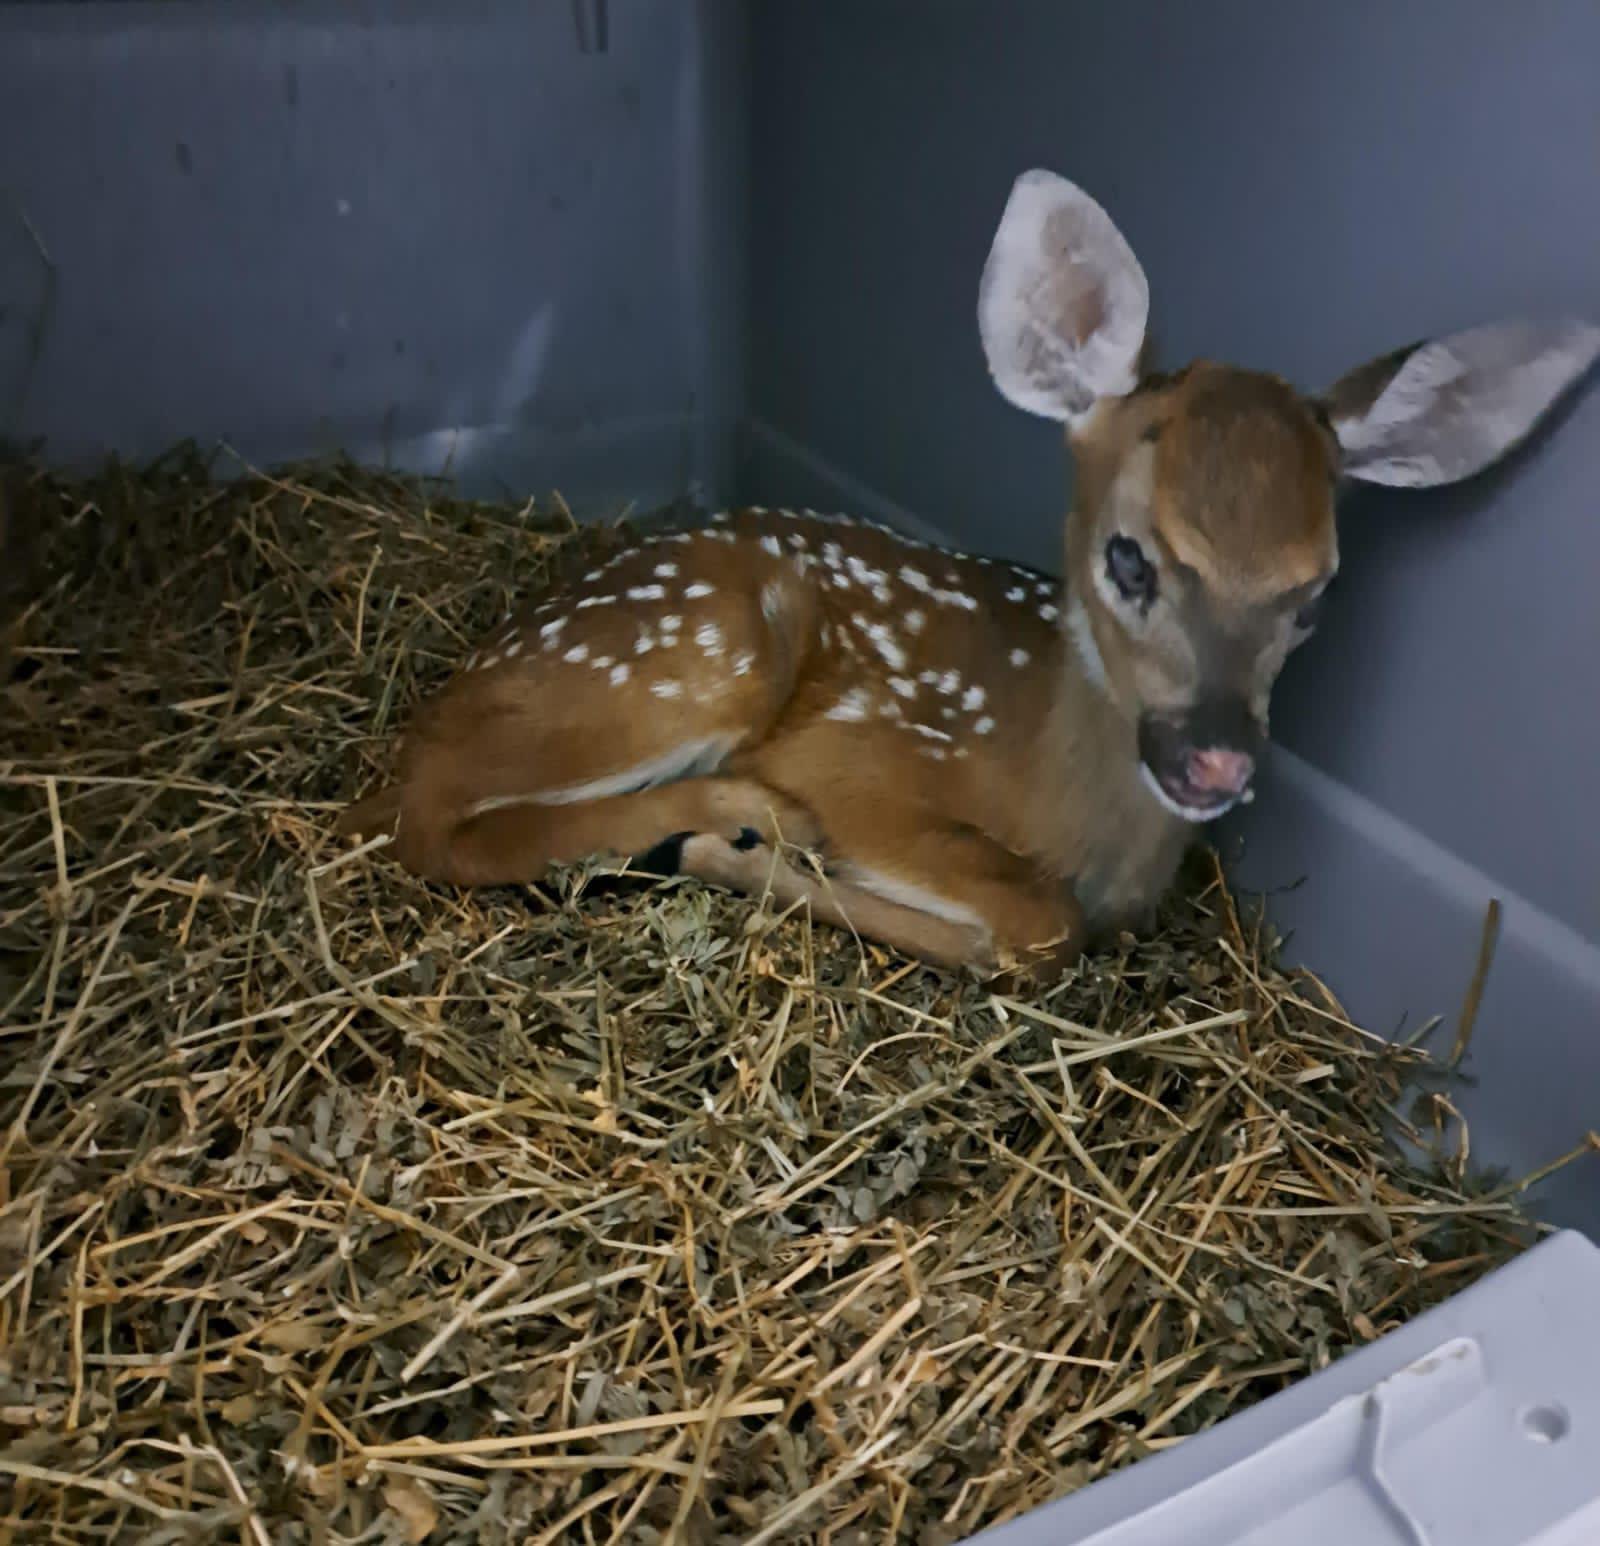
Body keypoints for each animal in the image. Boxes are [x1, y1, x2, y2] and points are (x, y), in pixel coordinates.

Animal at [340, 172, 1600, 979]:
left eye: (1315, 593)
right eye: (1130, 556)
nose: (1216, 758)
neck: (1063, 808)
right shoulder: (859, 759)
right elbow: (1036, 925)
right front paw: (755, 854)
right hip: (697, 652)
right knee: (436, 820)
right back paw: (722, 820)